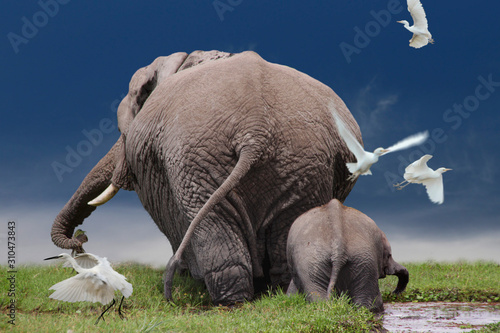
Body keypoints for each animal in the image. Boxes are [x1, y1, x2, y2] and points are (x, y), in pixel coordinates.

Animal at [50, 50, 362, 306]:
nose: (81, 239)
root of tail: (255, 129)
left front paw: (186, 276)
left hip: (197, 160)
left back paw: (228, 302)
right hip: (298, 162)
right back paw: (276, 293)